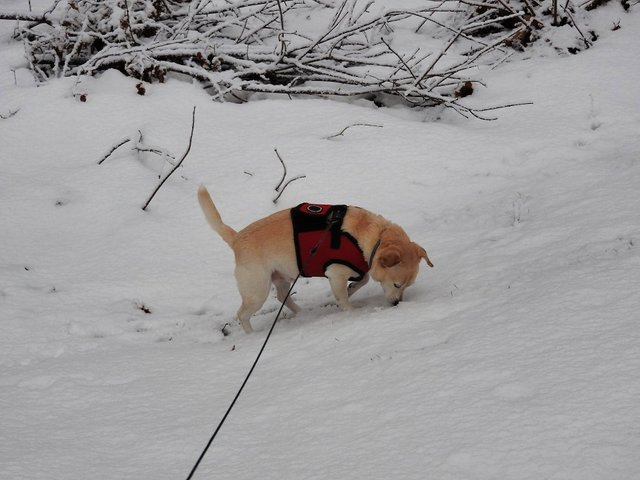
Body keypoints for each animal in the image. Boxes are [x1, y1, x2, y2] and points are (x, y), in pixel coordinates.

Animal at [198, 186, 432, 332]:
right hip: (257, 291)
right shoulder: (336, 273)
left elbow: (362, 279)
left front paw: (352, 289)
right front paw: (350, 311)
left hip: (281, 277)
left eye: (407, 286)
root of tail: (237, 238)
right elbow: (344, 297)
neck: (373, 237)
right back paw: (251, 336)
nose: (397, 303)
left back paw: (302, 314)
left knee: (282, 296)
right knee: (242, 315)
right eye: (397, 285)